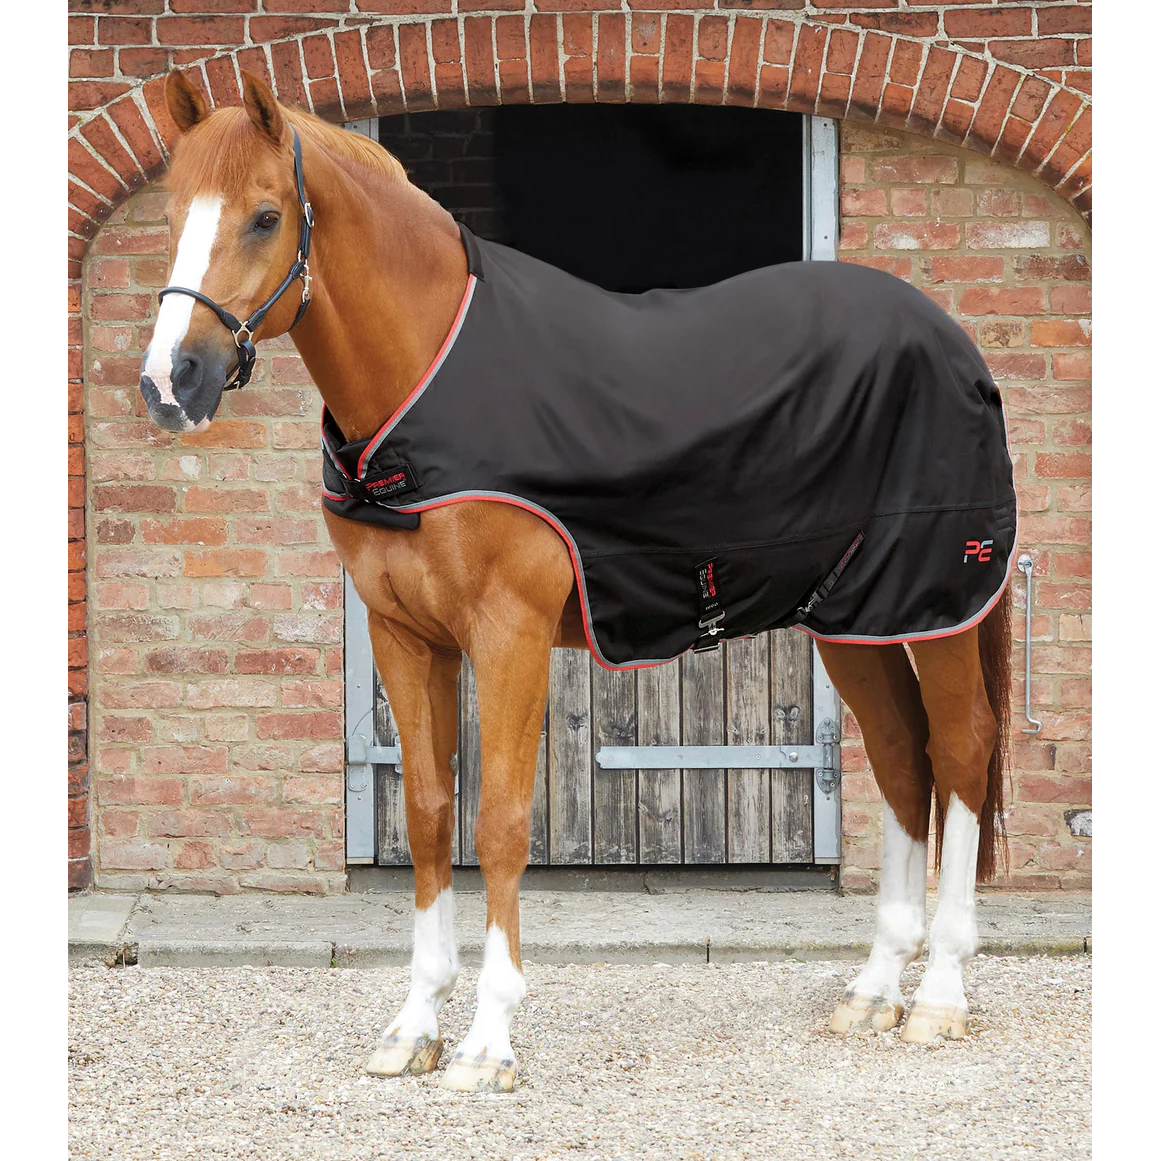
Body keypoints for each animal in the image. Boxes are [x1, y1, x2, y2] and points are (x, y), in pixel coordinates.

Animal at [138, 69, 1013, 1093]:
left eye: (266, 216)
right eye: (171, 215)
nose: (171, 382)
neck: (429, 380)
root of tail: (947, 338)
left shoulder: (508, 631)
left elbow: (501, 822)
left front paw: (487, 1042)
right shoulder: (405, 633)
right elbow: (429, 815)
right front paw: (414, 1026)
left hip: (935, 602)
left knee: (961, 749)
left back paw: (940, 995)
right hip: (851, 617)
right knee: (903, 758)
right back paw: (874, 991)